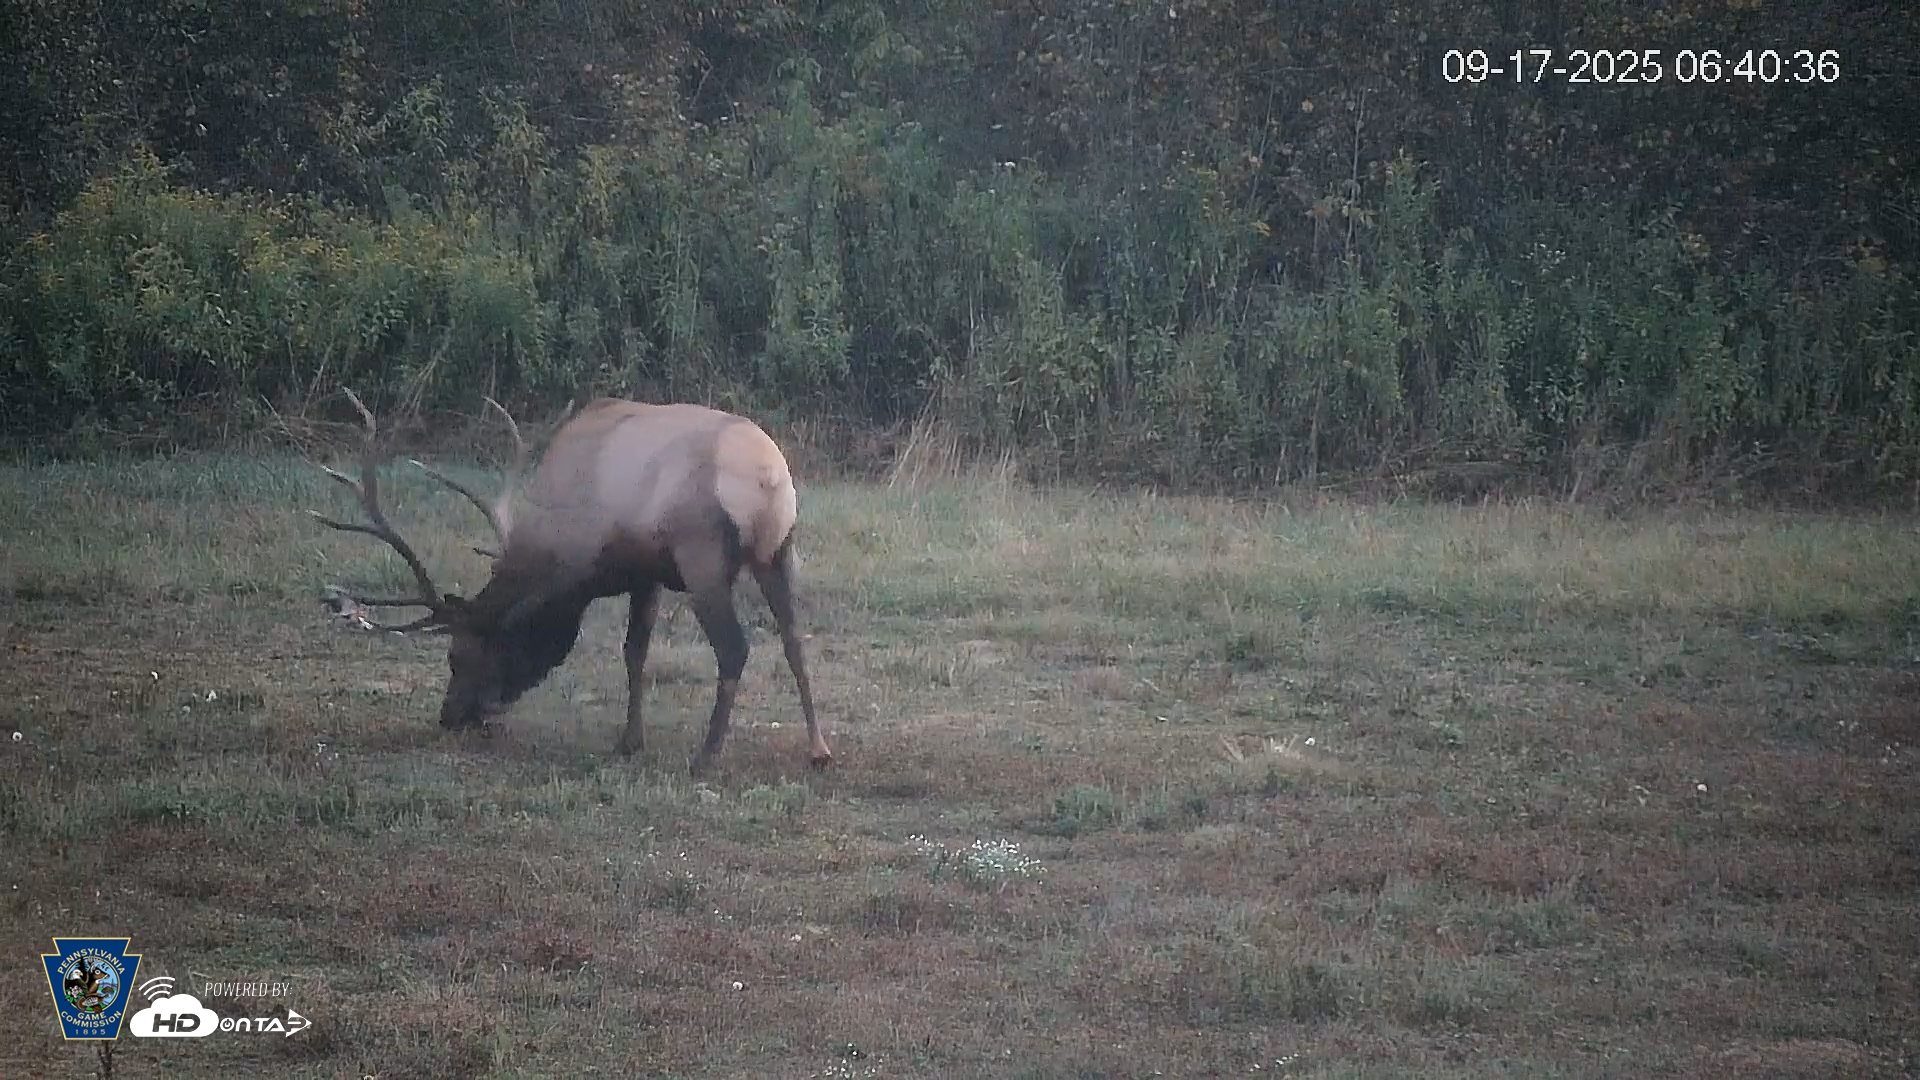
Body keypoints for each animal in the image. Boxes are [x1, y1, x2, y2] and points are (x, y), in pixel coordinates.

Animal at [308, 389, 834, 776]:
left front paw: (629, 741)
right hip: (778, 553)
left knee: (734, 650)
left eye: (457, 656)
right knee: (793, 639)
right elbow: (635, 652)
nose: (449, 716)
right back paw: (818, 750)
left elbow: (632, 650)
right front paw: (630, 740)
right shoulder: (647, 573)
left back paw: (705, 757)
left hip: (702, 556)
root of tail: (769, 479)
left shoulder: (631, 566)